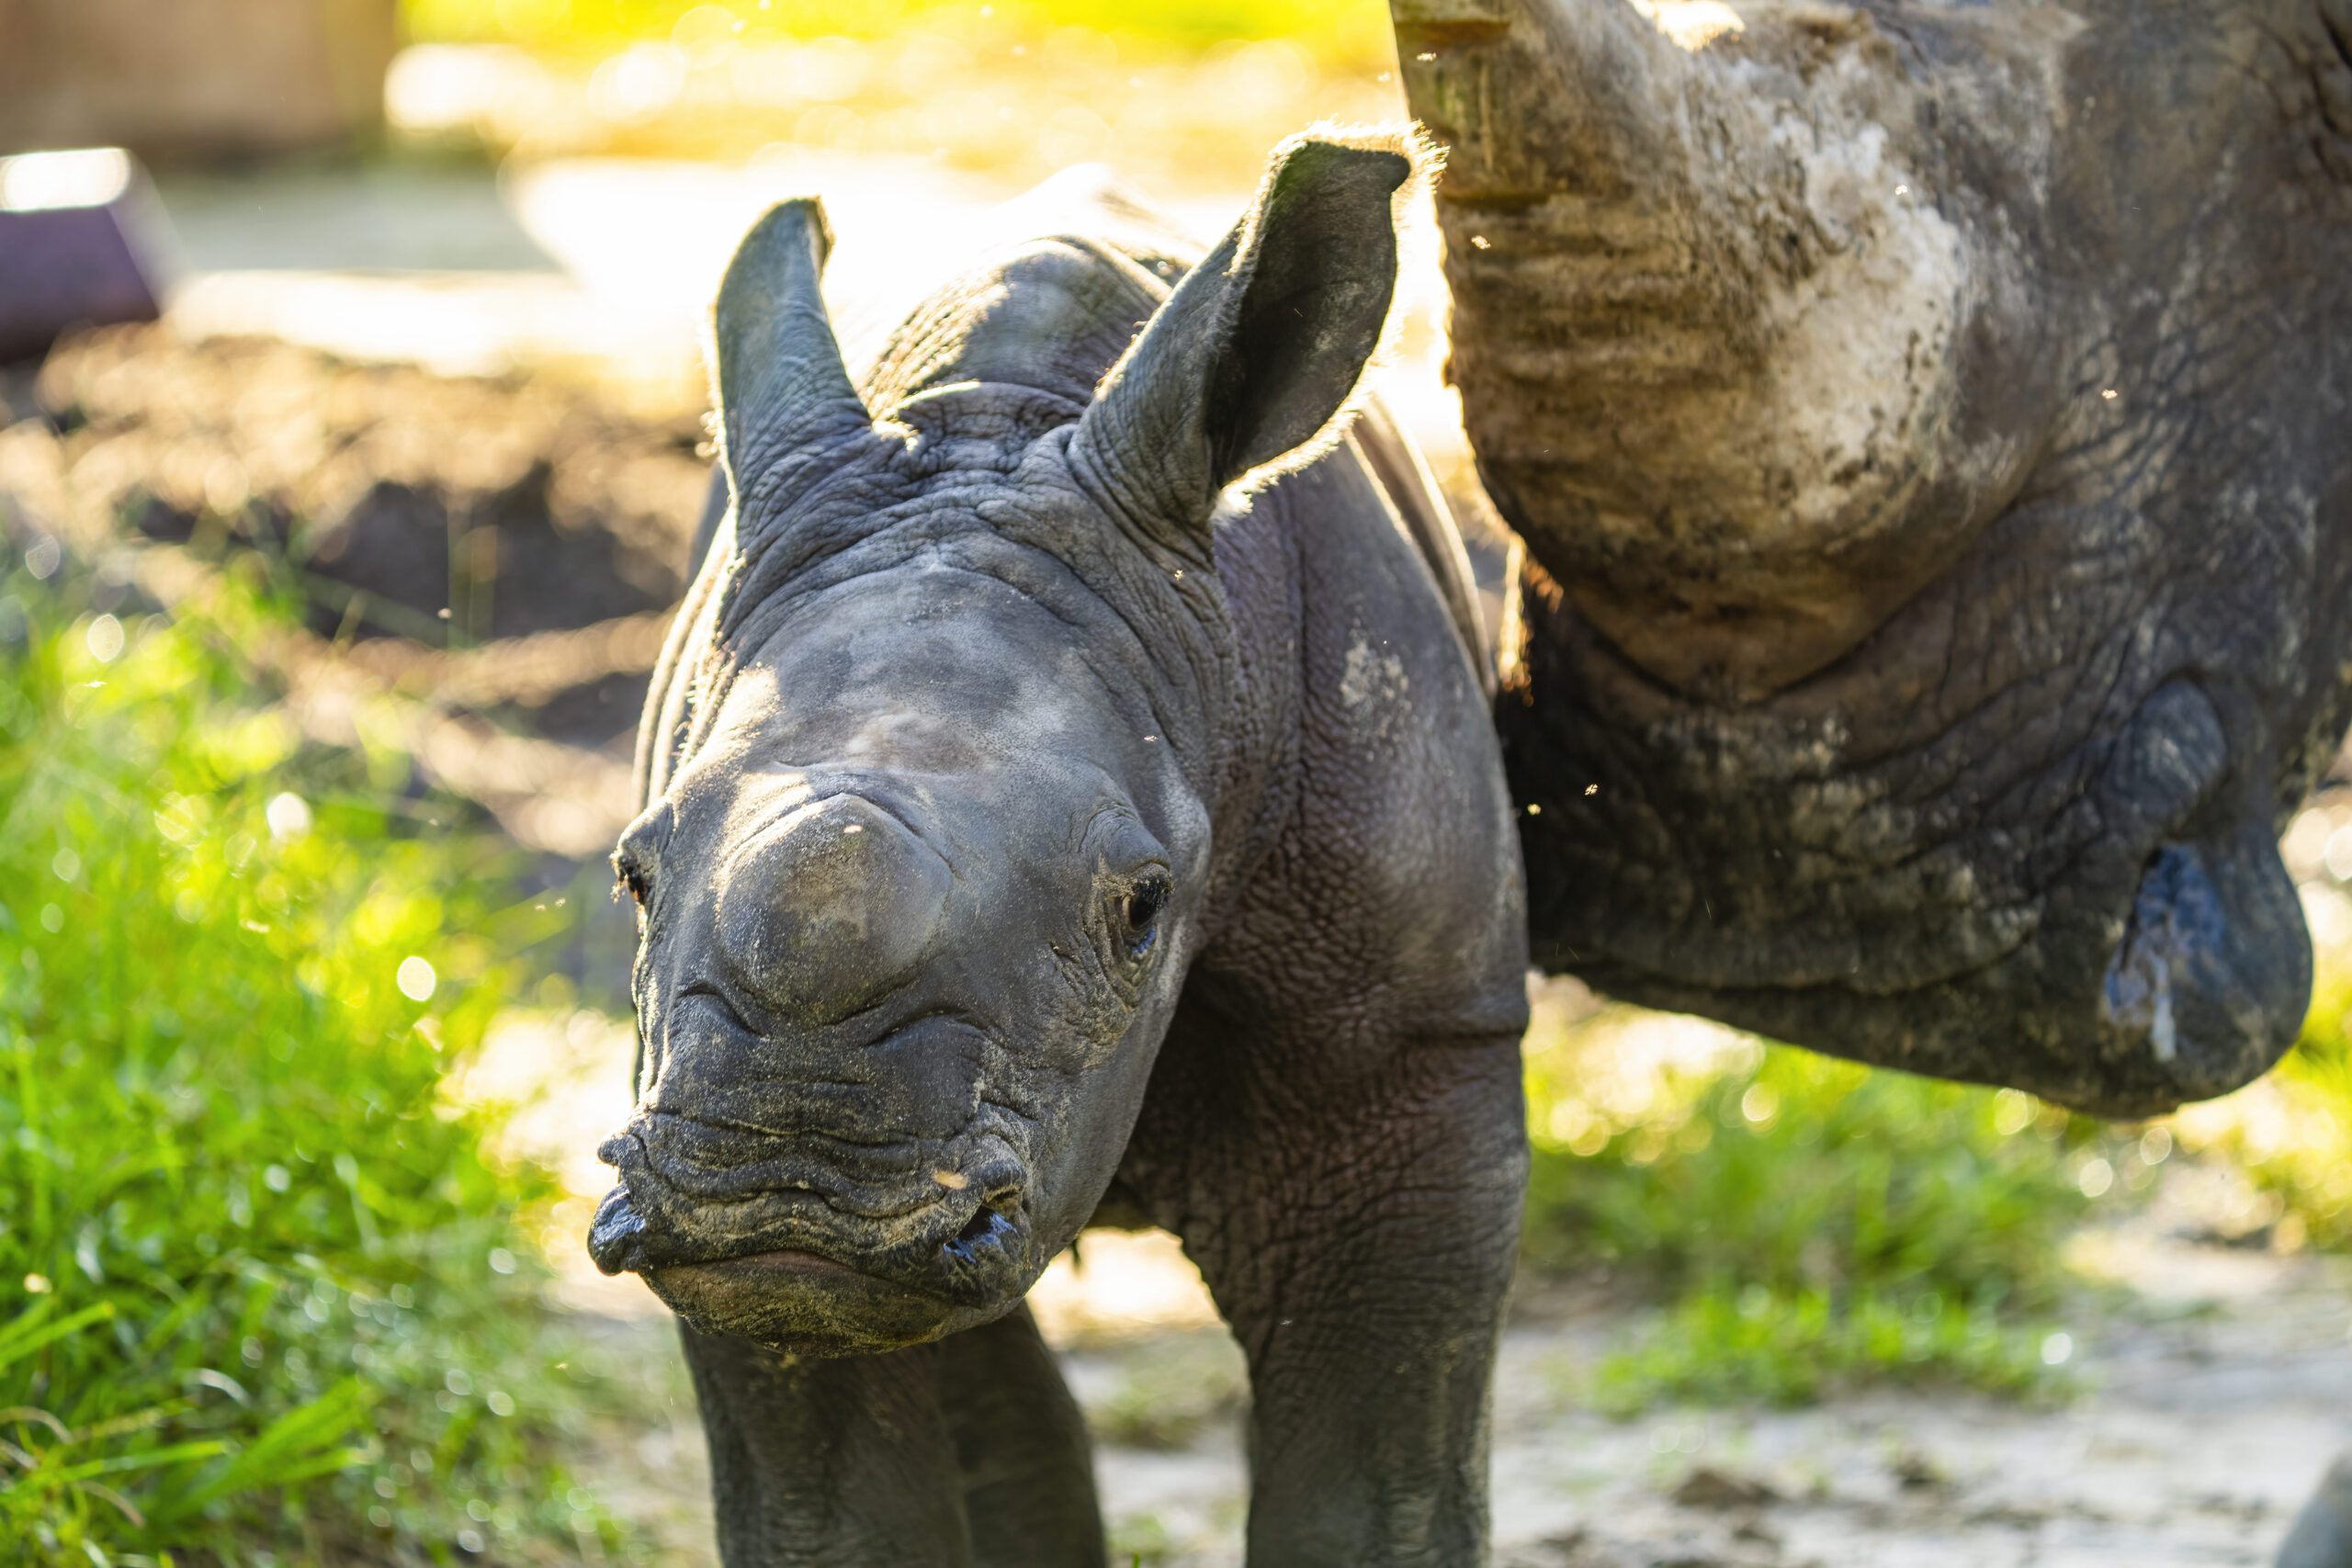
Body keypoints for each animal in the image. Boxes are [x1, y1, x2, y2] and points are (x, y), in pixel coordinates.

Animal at [593, 138, 1523, 1568]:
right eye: (633, 877)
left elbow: (1380, 1492)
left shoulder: (1413, 1038)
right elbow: (830, 1505)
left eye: (1142, 910)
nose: (785, 1194)